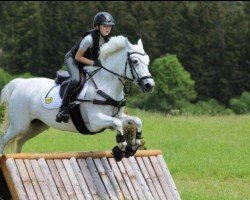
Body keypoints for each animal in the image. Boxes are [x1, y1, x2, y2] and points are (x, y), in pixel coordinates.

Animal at [0, 35, 154, 161]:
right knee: (4, 139)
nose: (149, 85)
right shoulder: (95, 121)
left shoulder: (118, 116)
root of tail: (20, 83)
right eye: (135, 61)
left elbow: (136, 121)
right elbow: (117, 124)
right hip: (20, 125)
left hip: (36, 125)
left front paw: (134, 145)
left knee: (19, 141)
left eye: (147, 61)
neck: (107, 84)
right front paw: (122, 145)